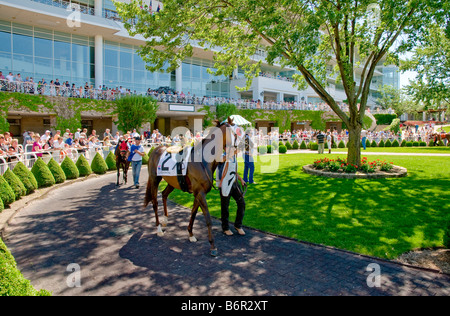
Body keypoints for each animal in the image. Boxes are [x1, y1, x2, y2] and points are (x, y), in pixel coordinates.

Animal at [144, 117, 237, 256]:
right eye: (235, 133)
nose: (243, 146)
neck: (202, 161)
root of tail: (155, 149)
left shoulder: (198, 193)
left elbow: (193, 212)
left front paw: (191, 234)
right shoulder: (200, 193)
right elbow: (208, 218)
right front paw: (212, 245)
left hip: (172, 182)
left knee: (164, 194)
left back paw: (165, 220)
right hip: (155, 180)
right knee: (155, 203)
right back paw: (159, 228)